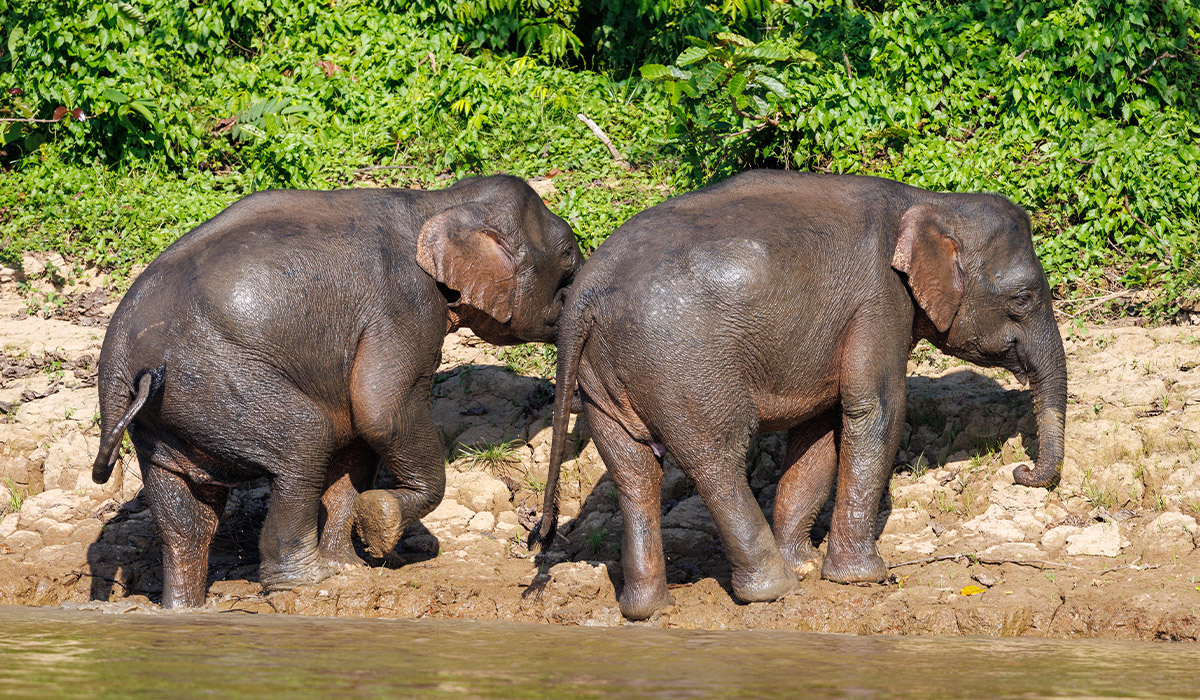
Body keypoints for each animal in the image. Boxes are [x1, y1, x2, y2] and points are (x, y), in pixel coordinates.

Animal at [91, 175, 581, 608]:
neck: (439, 201)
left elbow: (358, 441)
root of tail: (119, 360)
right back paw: (305, 581)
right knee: (305, 441)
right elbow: (381, 410)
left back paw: (184, 606)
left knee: (186, 517)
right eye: (569, 257)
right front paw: (380, 525)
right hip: (216, 380)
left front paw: (351, 567)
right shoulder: (405, 305)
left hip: (164, 417)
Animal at [531, 170, 1066, 620]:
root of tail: (583, 297)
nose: (1021, 472)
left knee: (633, 473)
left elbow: (820, 430)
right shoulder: (878, 299)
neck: (932, 201)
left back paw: (649, 610)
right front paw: (863, 578)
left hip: (601, 379)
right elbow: (875, 410)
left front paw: (808, 562)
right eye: (1023, 298)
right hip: (683, 368)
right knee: (716, 461)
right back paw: (774, 590)